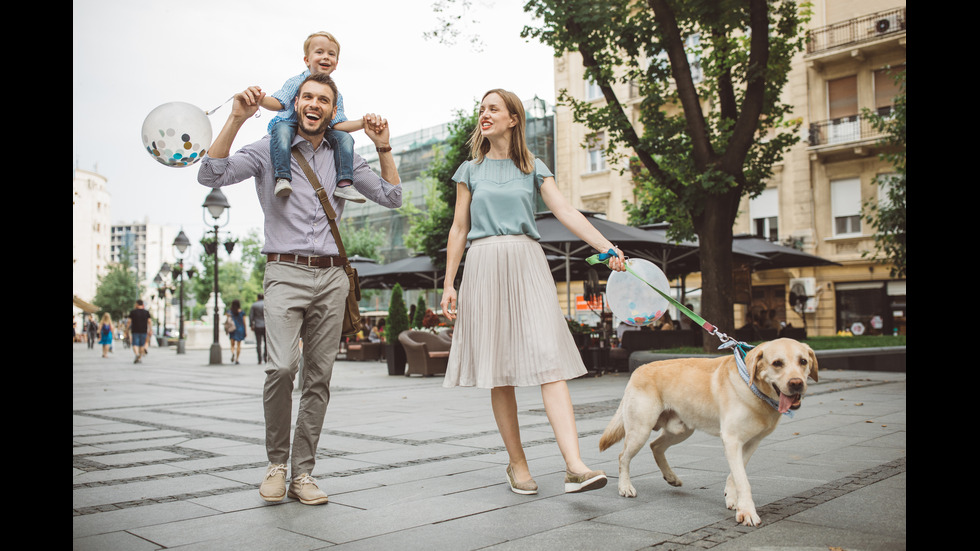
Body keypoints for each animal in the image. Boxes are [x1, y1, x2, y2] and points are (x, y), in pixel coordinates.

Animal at [596, 338, 820, 528]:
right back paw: (625, 486)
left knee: (656, 446)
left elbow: (735, 474)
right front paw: (747, 511)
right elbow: (743, 479)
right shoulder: (731, 440)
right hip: (640, 429)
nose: (796, 383)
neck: (753, 389)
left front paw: (732, 498)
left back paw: (671, 477)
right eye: (777, 363)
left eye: (803, 361)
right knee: (623, 456)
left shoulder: (751, 442)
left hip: (682, 429)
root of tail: (638, 370)